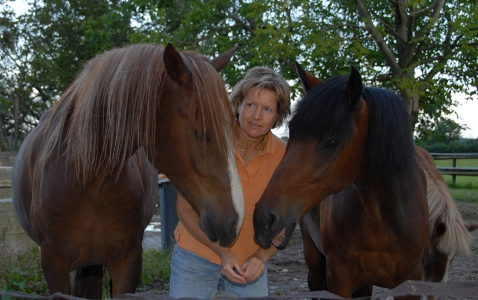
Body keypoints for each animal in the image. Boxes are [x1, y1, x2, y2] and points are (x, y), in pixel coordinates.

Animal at [254, 63, 430, 298]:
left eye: (333, 142)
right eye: (292, 132)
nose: (263, 219)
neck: (385, 221)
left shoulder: (412, 281)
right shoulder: (339, 278)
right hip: (314, 261)